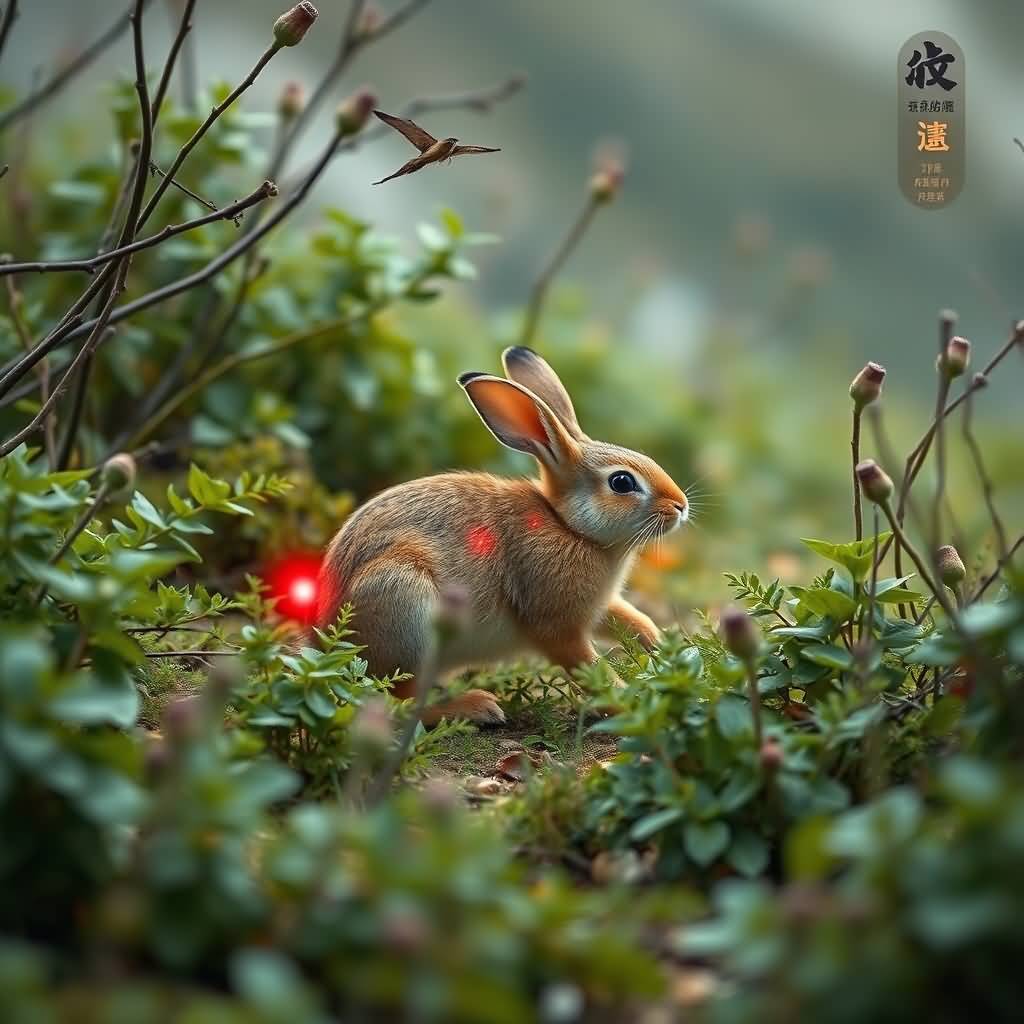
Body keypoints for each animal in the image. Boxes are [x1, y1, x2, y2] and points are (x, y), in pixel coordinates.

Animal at [317, 345, 688, 725]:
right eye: (622, 482)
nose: (681, 505)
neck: (569, 527)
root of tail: (329, 639)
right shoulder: (555, 624)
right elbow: (587, 667)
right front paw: (630, 703)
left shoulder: (596, 608)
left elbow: (627, 618)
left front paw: (662, 645)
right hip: (405, 602)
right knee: (399, 699)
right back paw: (476, 706)